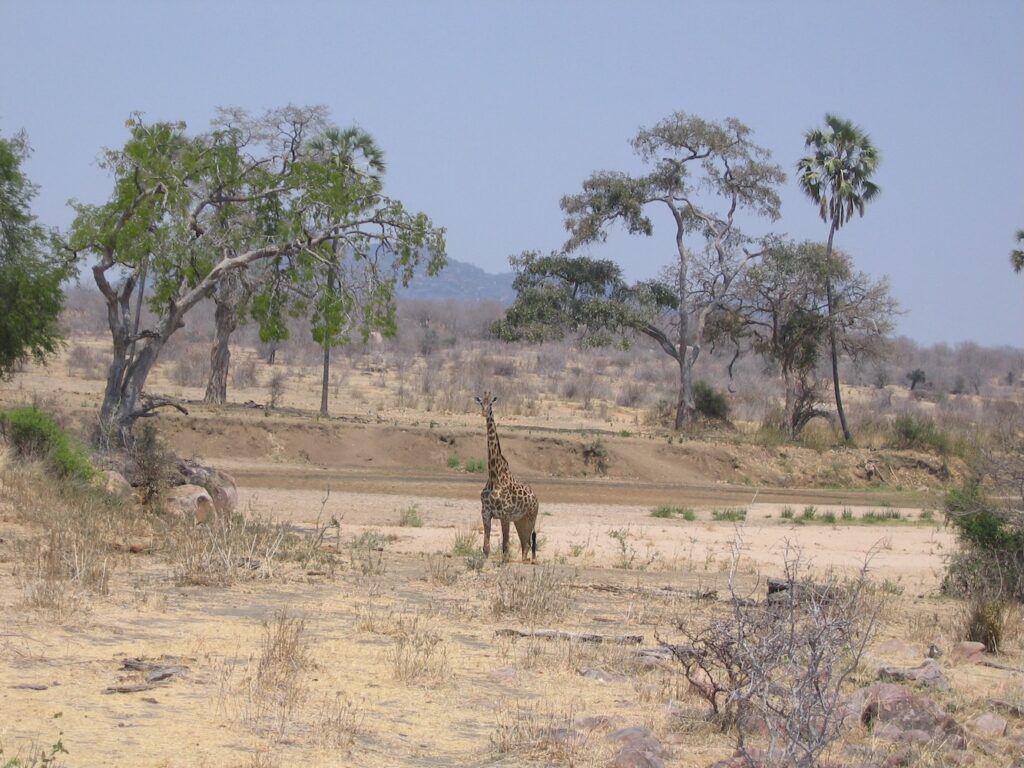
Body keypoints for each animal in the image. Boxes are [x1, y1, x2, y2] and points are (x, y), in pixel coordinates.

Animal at [475, 392, 539, 562]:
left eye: (491, 403)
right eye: (480, 402)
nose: (484, 413)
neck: (494, 475)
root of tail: (536, 497)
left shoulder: (505, 515)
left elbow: (505, 548)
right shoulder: (486, 513)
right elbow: (486, 548)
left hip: (530, 517)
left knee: (529, 542)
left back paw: (530, 561)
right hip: (519, 520)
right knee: (525, 544)